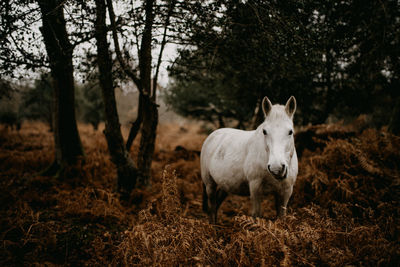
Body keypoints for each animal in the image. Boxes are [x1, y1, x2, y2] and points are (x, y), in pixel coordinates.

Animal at [200, 96, 296, 224]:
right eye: (264, 131)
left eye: (290, 132)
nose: (276, 168)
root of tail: (212, 135)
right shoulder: (255, 188)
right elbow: (256, 215)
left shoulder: (286, 192)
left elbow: (282, 217)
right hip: (209, 184)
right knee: (212, 205)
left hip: (225, 185)